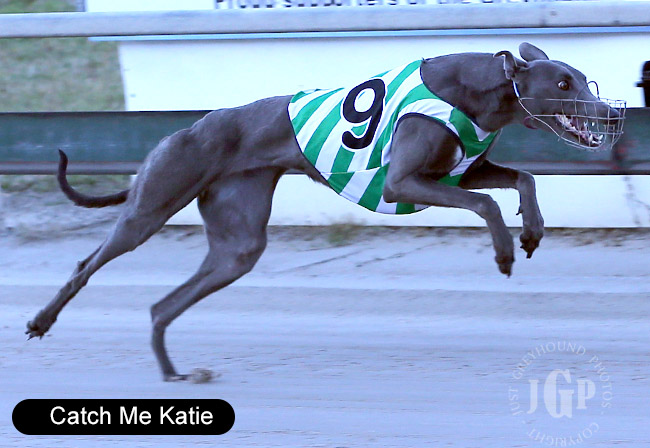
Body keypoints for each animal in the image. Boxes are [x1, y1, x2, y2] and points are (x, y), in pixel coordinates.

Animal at [26, 43, 624, 381]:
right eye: (563, 83)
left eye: (581, 78)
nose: (614, 114)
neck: (478, 87)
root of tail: (180, 131)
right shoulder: (409, 181)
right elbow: (485, 202)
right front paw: (503, 251)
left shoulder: (458, 172)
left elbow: (521, 179)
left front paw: (533, 231)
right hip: (149, 210)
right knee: (86, 265)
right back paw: (41, 320)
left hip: (238, 248)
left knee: (161, 306)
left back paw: (174, 374)